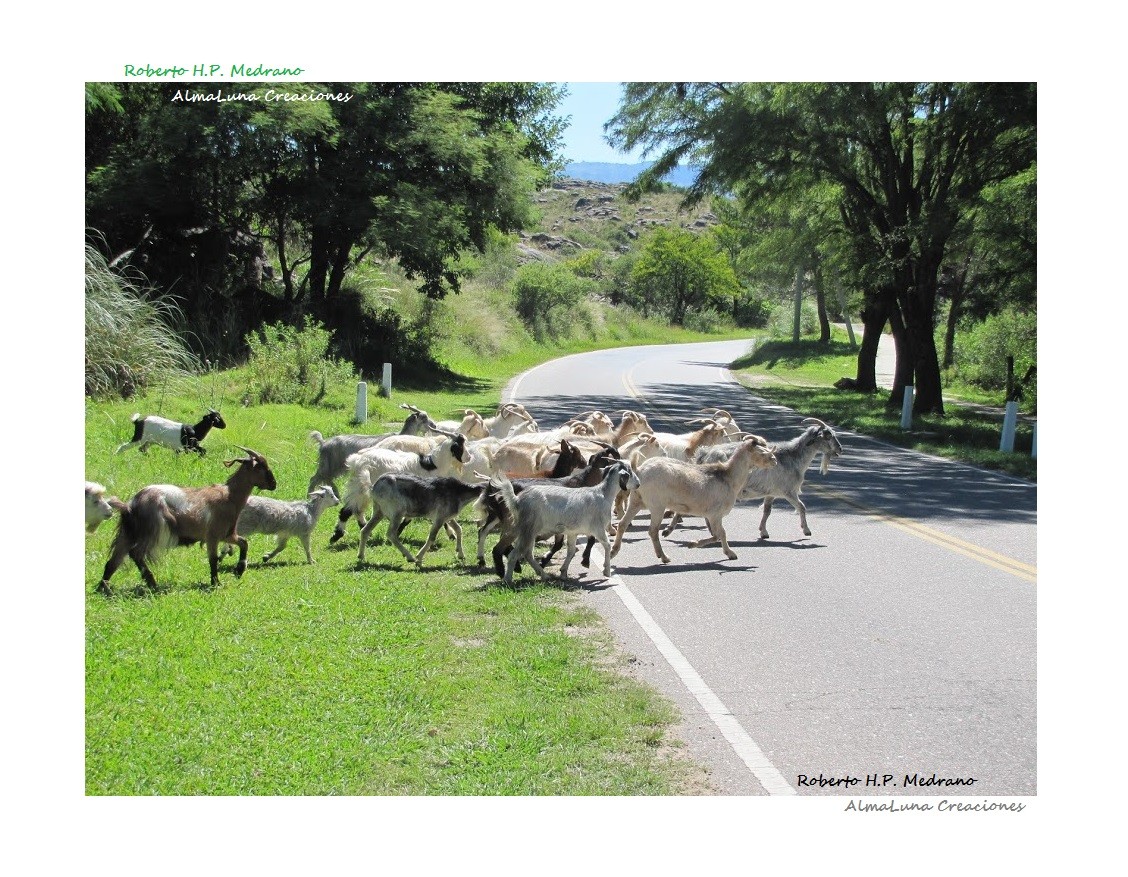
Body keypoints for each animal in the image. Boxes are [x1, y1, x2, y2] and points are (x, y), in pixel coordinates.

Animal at [99, 444, 279, 595]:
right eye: (262, 467)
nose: (273, 484)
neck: (229, 496)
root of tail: (131, 505)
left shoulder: (228, 534)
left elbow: (243, 542)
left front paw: (239, 570)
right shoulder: (213, 535)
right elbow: (213, 560)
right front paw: (216, 583)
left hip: (128, 534)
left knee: (113, 561)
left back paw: (104, 588)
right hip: (153, 532)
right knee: (135, 553)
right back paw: (152, 583)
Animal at [609, 433, 776, 564]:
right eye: (762, 452)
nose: (774, 460)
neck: (728, 477)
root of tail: (640, 470)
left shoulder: (713, 515)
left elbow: (718, 534)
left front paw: (728, 553)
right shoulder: (715, 514)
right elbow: (719, 534)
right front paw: (695, 544)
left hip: (636, 501)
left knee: (623, 524)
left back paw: (613, 552)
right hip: (657, 505)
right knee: (652, 530)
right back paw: (664, 557)